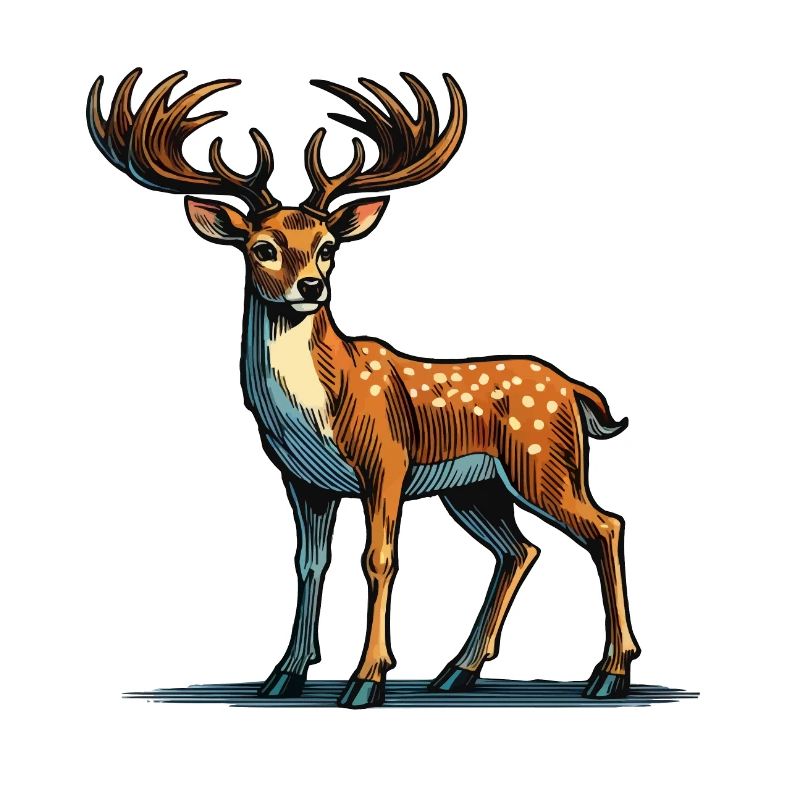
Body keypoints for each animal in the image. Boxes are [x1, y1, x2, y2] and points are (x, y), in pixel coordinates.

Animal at [87, 68, 640, 709]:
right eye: (262, 247)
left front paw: (366, 677)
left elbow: (379, 559)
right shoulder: (303, 479)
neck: (319, 405)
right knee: (519, 549)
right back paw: (457, 670)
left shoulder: (386, 461)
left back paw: (610, 672)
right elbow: (309, 563)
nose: (311, 286)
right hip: (476, 489)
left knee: (606, 526)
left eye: (329, 247)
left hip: (544, 462)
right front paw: (285, 673)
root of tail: (576, 391)